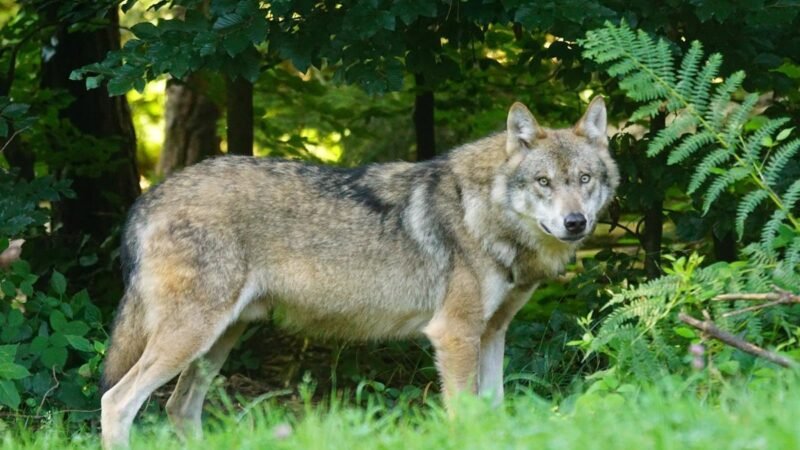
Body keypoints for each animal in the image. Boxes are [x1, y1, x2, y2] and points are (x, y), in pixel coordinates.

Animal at [97, 96, 616, 448]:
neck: (483, 213)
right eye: (543, 182)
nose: (575, 223)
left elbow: (494, 411)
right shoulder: (454, 334)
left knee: (179, 408)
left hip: (217, 341)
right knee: (117, 401)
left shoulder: (492, 333)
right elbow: (464, 416)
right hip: (192, 337)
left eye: (584, 180)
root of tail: (148, 197)